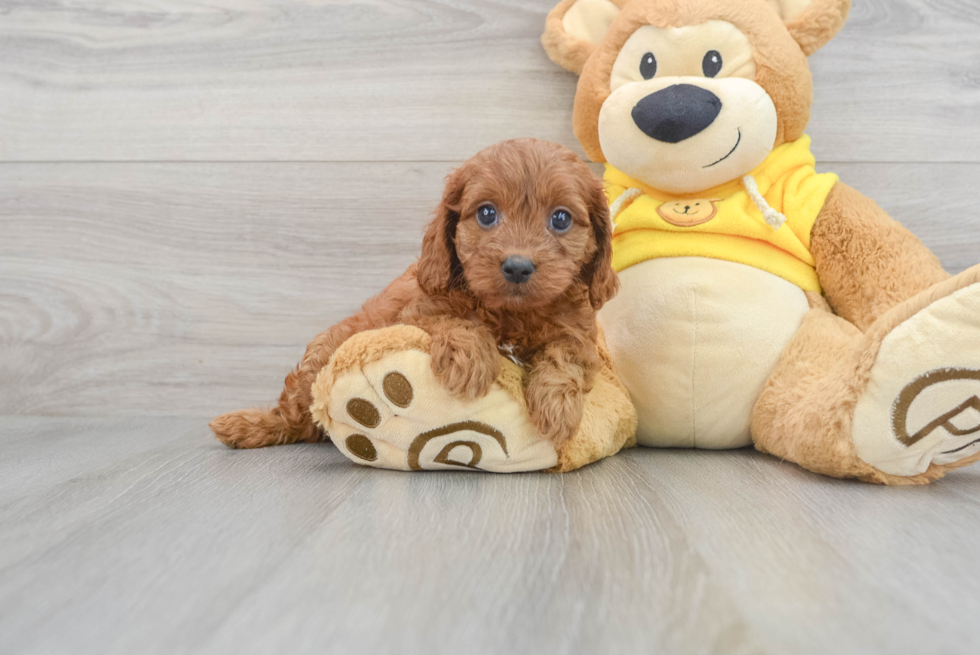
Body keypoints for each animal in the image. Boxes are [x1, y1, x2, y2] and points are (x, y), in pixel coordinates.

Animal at [211, 140, 616, 452]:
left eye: (561, 219)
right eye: (487, 213)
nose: (517, 266)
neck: (512, 313)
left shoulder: (580, 335)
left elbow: (564, 357)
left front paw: (557, 408)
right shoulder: (417, 310)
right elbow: (457, 322)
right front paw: (471, 360)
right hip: (320, 357)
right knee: (294, 417)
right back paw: (249, 426)